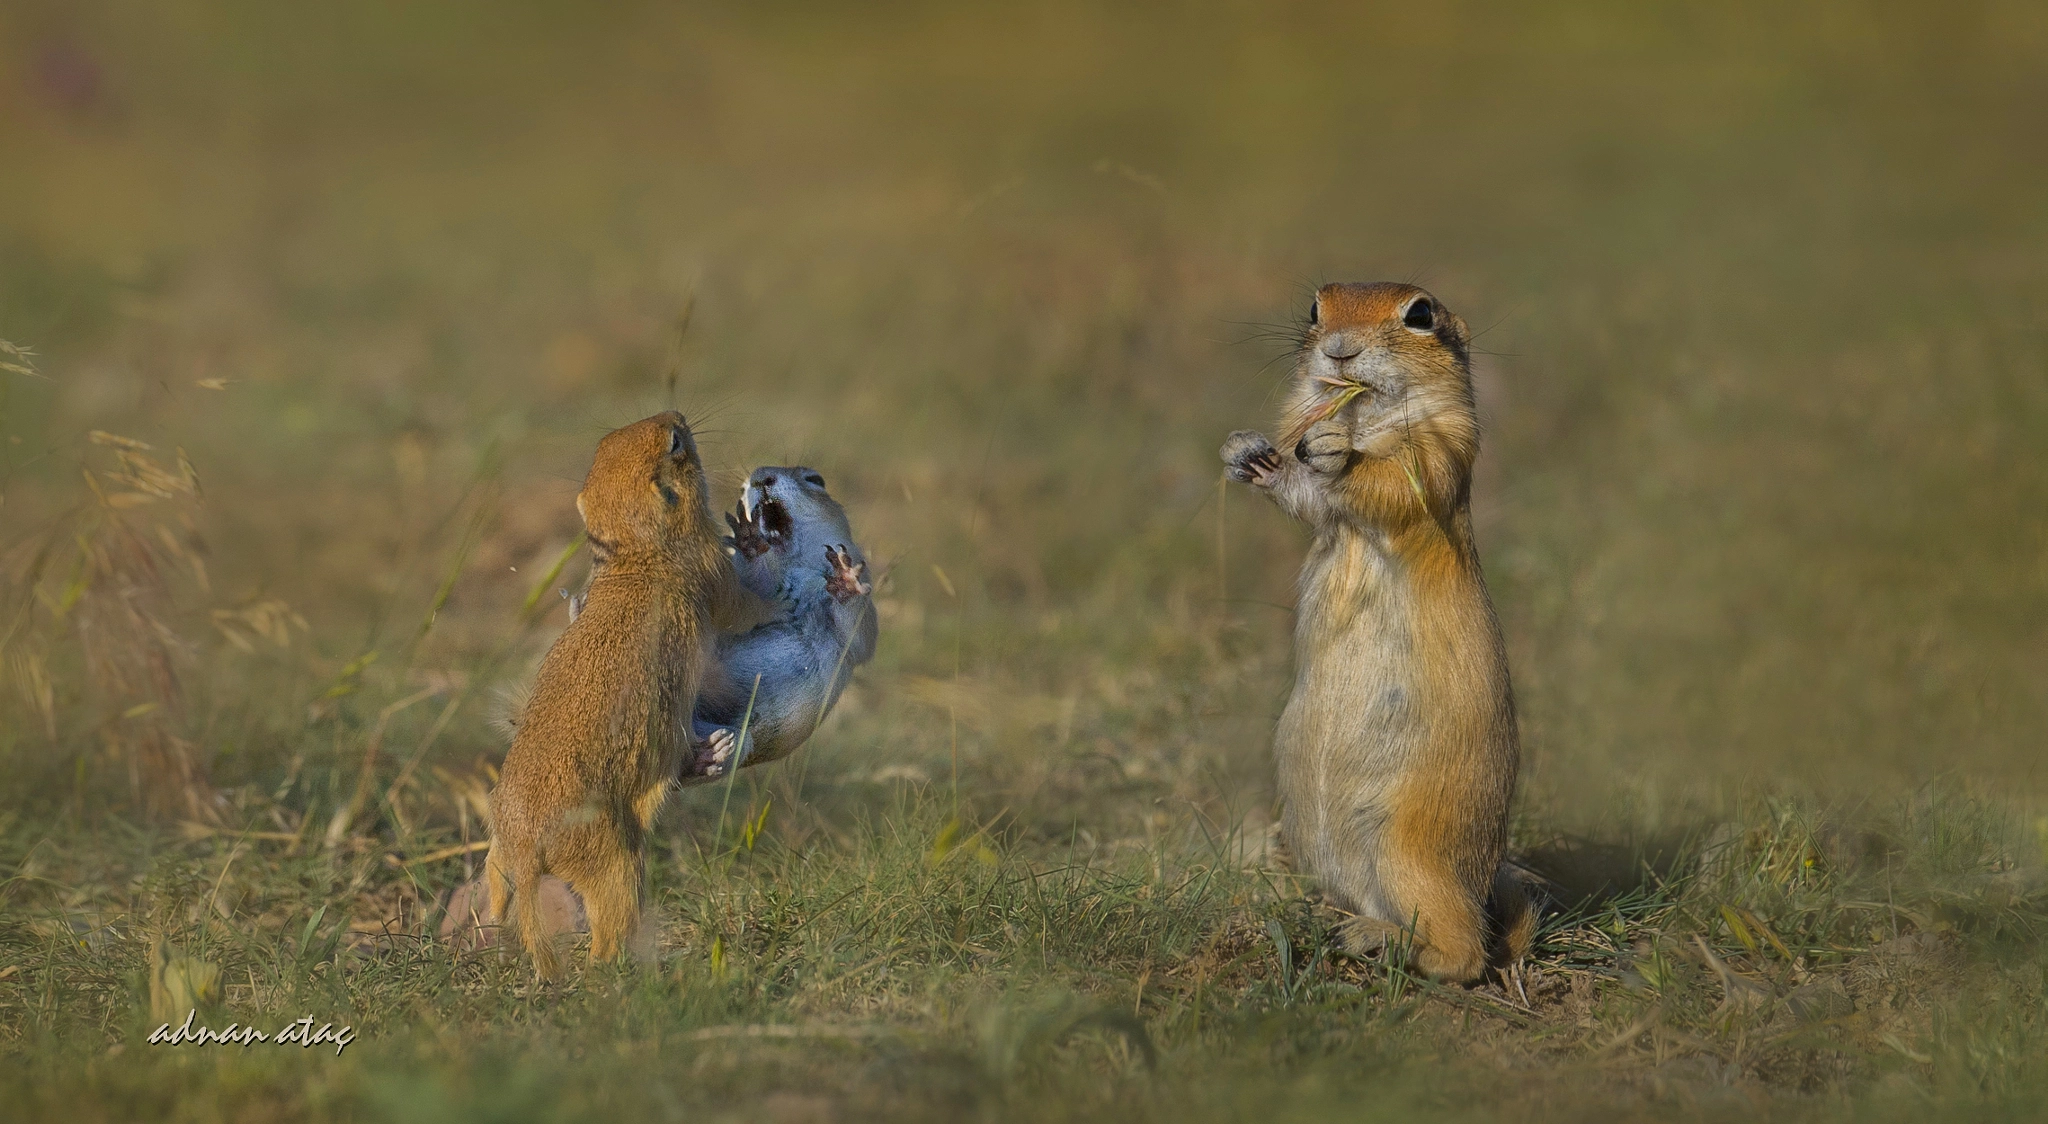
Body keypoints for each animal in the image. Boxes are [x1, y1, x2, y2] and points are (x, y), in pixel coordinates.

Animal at [483, 409, 770, 974]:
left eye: (604, 442)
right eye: (676, 442)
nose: (675, 414)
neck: (634, 554)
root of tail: (526, 852)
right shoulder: (714, 573)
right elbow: (747, 604)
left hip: (499, 851)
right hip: (615, 862)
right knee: (608, 934)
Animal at [688, 462, 880, 769]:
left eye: (815, 480)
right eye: (742, 488)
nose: (760, 478)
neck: (794, 566)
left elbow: (861, 634)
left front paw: (845, 581)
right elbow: (747, 593)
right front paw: (750, 541)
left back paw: (712, 751)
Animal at [1212, 282, 1540, 982]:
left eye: (1419, 315)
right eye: (1316, 307)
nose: (1339, 349)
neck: (1366, 416)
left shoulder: (1445, 445)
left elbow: (1398, 485)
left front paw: (1333, 448)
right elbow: (1304, 496)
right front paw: (1247, 451)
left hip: (1406, 849)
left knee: (1464, 954)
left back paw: (1375, 939)